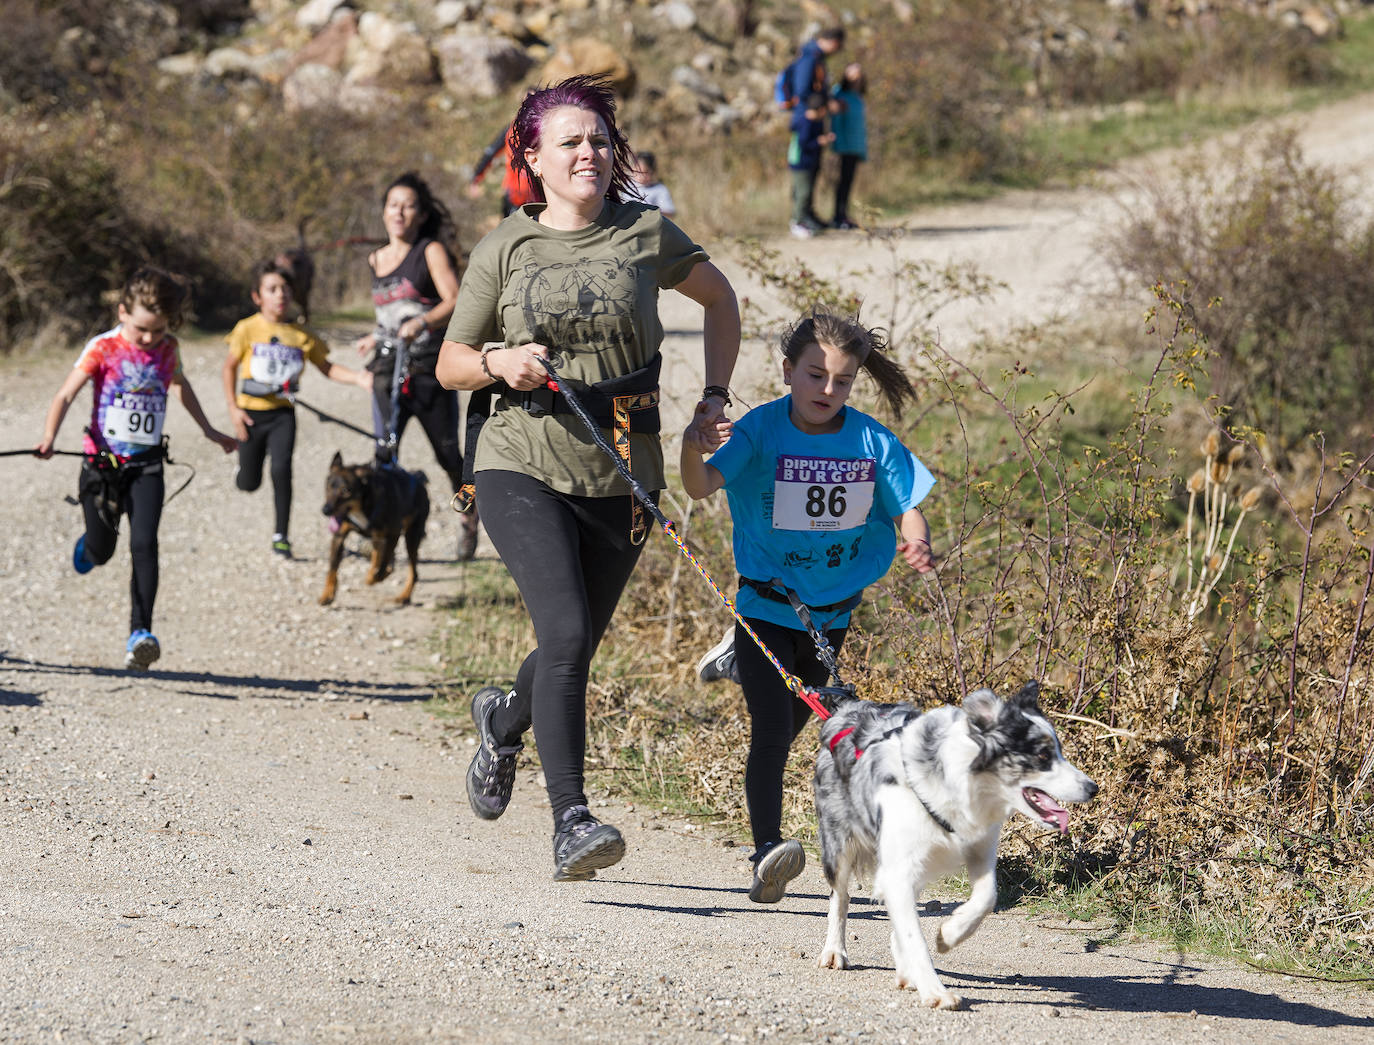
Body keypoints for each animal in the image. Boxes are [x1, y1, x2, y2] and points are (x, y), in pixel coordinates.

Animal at [321, 447, 428, 604]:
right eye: (328, 487)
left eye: (346, 490)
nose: (325, 510)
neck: (362, 506)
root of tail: (419, 481)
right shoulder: (339, 535)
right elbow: (332, 568)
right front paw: (327, 594)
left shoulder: (394, 533)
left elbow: (384, 564)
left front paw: (376, 577)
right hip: (379, 537)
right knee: (380, 556)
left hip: (411, 537)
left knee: (412, 572)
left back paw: (403, 595)